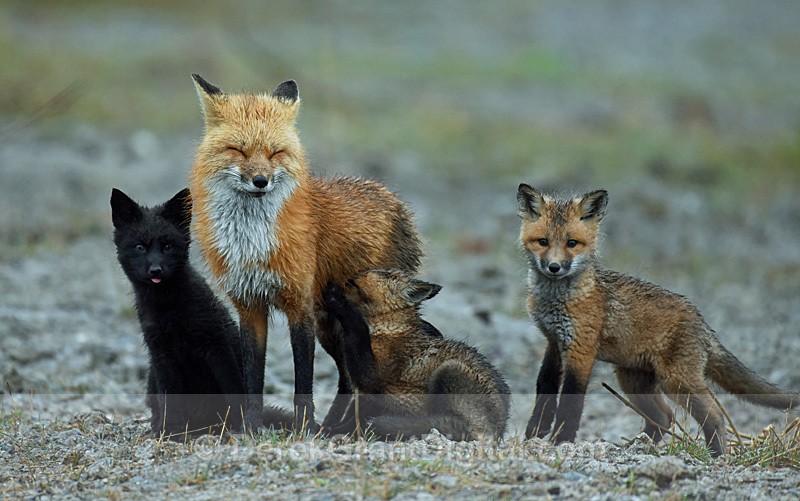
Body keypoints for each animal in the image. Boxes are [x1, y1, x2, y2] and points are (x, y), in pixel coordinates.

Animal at [111, 188, 293, 439]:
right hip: (152, 378)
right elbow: (170, 398)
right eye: (139, 247)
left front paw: (240, 427)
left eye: (168, 246)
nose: (156, 270)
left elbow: (232, 389)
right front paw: (172, 432)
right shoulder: (161, 354)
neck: (170, 309)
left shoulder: (216, 345)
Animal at [188, 75, 423, 432]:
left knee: (354, 377)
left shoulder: (301, 306)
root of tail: (391, 196)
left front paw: (303, 429)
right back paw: (333, 427)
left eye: (275, 153)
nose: (261, 181)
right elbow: (252, 380)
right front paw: (251, 429)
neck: (253, 241)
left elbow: (303, 382)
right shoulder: (250, 306)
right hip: (332, 326)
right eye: (238, 150)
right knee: (347, 376)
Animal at [321, 269, 510, 441]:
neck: (387, 328)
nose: (353, 273)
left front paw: (335, 298)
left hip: (448, 371)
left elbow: (356, 324)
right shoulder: (365, 394)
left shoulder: (371, 379)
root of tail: (500, 429)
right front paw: (331, 429)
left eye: (382, 272)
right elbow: (353, 416)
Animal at [516, 184, 798, 457]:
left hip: (675, 381)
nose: (554, 267)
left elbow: (571, 401)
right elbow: (544, 387)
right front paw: (535, 432)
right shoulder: (554, 342)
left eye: (572, 243)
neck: (557, 301)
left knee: (714, 415)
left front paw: (561, 441)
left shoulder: (581, 350)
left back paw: (716, 455)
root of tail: (702, 322)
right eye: (543, 241)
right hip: (634, 382)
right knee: (665, 417)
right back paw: (636, 447)